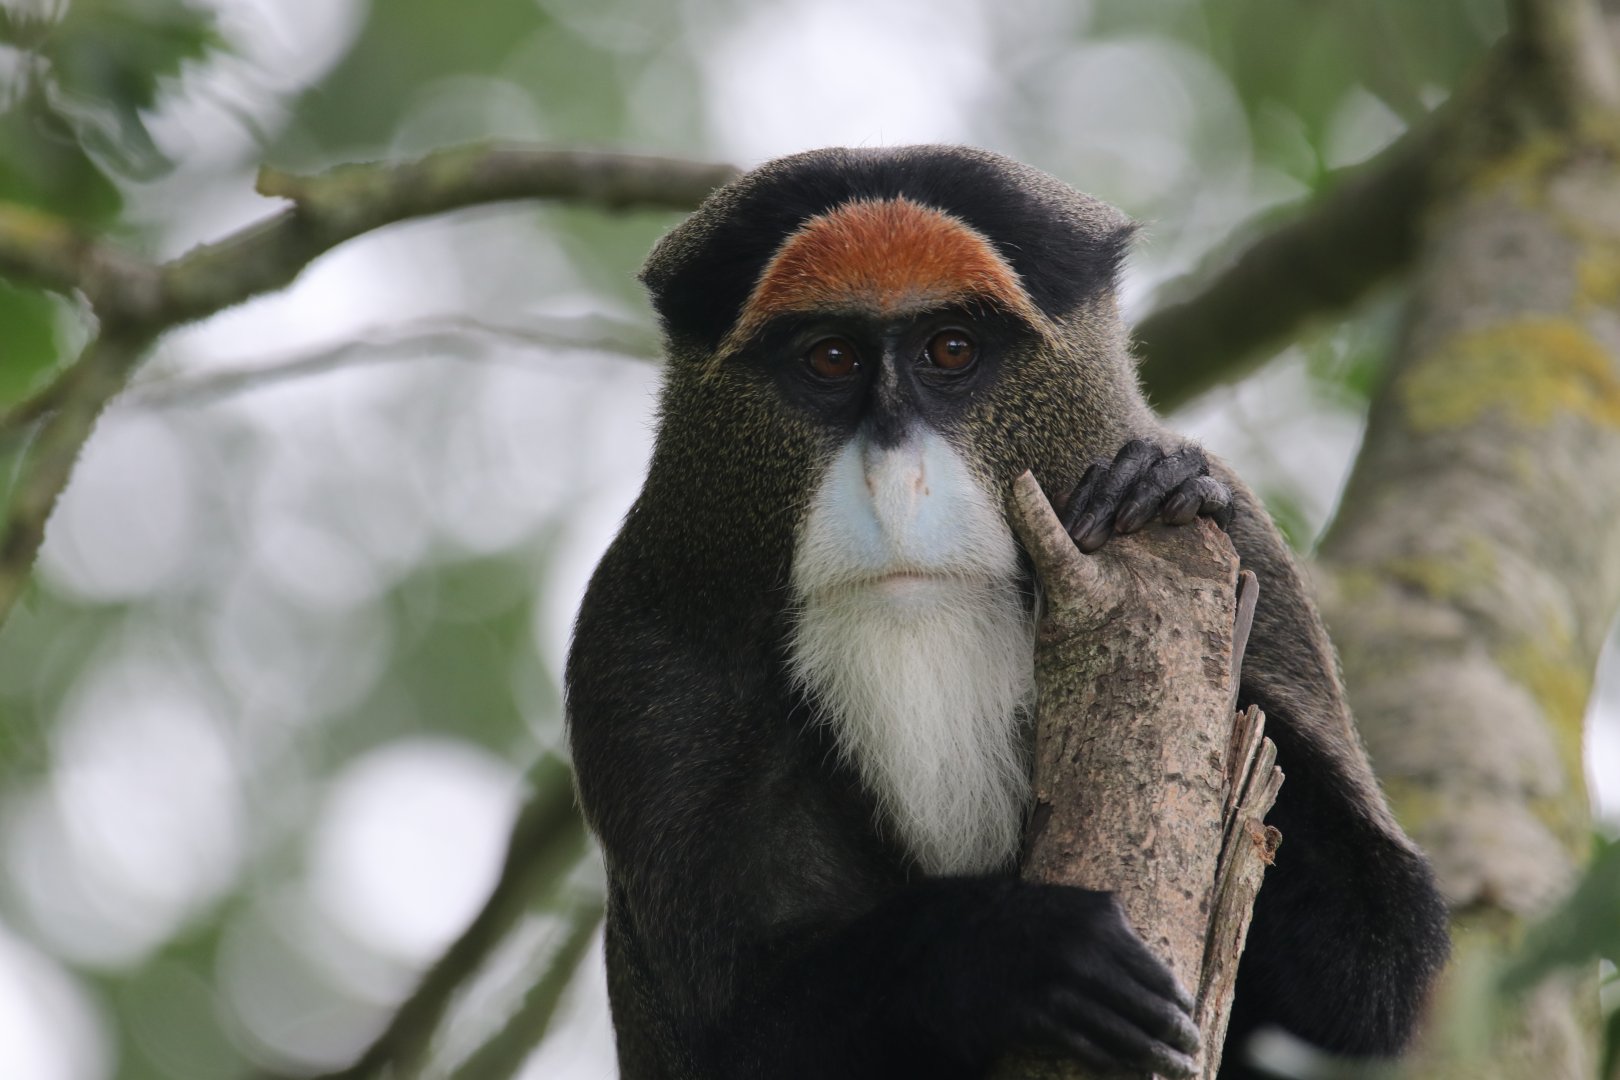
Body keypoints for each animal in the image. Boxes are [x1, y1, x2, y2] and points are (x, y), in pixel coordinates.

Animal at [565, 145, 1450, 1079]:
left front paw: (1156, 487)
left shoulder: (1251, 544)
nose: (896, 483)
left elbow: (1375, 986)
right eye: (831, 358)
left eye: (951, 348)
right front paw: (1019, 952)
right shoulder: (640, 649)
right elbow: (724, 1047)